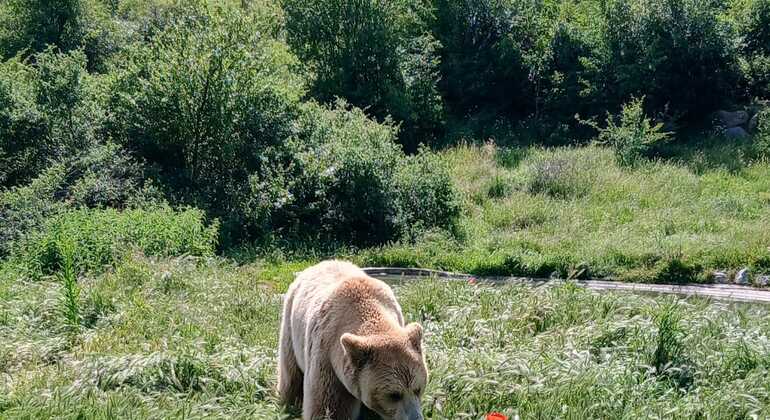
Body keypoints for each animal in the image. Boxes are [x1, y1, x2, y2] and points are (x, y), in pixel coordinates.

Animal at [278, 260, 427, 420]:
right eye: (394, 395)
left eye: (418, 389)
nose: (416, 417)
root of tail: (320, 264)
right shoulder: (327, 358)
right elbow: (328, 407)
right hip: (290, 326)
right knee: (290, 372)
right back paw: (288, 400)